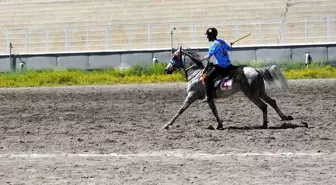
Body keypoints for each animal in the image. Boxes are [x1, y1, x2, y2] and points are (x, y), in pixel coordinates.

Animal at [163, 46, 294, 130]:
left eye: (174, 57)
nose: (166, 69)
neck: (196, 74)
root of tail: (256, 70)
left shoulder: (191, 96)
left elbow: (180, 110)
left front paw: (167, 124)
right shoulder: (209, 99)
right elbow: (215, 111)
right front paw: (219, 125)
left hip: (252, 95)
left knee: (264, 106)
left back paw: (264, 125)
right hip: (260, 92)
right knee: (272, 102)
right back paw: (284, 117)